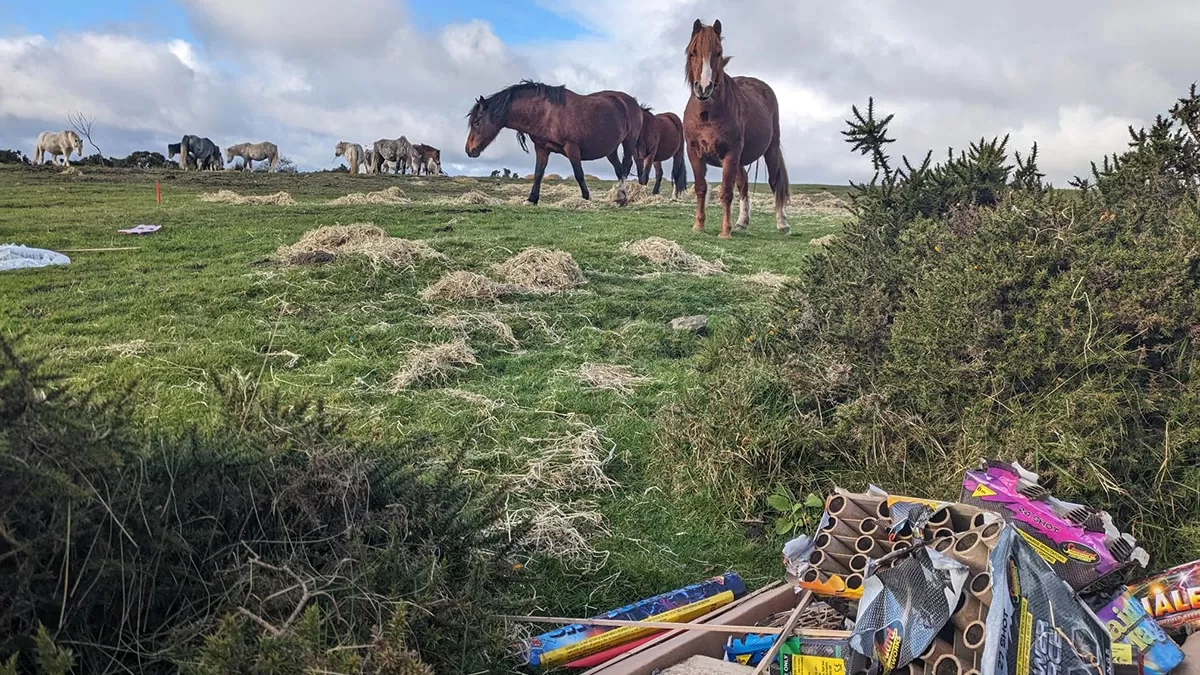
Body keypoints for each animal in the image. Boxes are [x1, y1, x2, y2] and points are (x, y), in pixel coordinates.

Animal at [460, 79, 648, 205]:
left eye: (476, 122)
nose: (470, 150)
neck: (545, 113)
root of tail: (632, 102)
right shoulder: (542, 149)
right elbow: (538, 173)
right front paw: (531, 199)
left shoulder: (572, 148)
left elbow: (579, 174)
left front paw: (586, 198)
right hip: (610, 150)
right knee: (619, 170)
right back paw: (619, 197)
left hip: (628, 143)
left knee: (626, 166)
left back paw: (622, 197)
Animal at [686, 18, 787, 237]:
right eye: (693, 52)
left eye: (718, 52)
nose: (704, 88)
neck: (707, 114)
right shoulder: (694, 153)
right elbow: (701, 188)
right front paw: (698, 225)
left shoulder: (731, 154)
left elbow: (726, 192)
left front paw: (725, 231)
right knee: (744, 184)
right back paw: (742, 221)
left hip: (770, 149)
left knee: (775, 181)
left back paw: (782, 223)